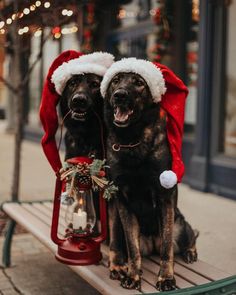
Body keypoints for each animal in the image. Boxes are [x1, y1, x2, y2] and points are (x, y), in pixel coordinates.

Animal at [104, 73, 198, 292]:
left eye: (139, 83)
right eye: (116, 80)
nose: (119, 95)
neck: (131, 140)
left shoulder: (164, 198)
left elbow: (167, 249)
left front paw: (166, 278)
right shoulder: (123, 202)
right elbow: (132, 249)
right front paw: (132, 276)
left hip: (180, 228)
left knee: (187, 237)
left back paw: (190, 252)